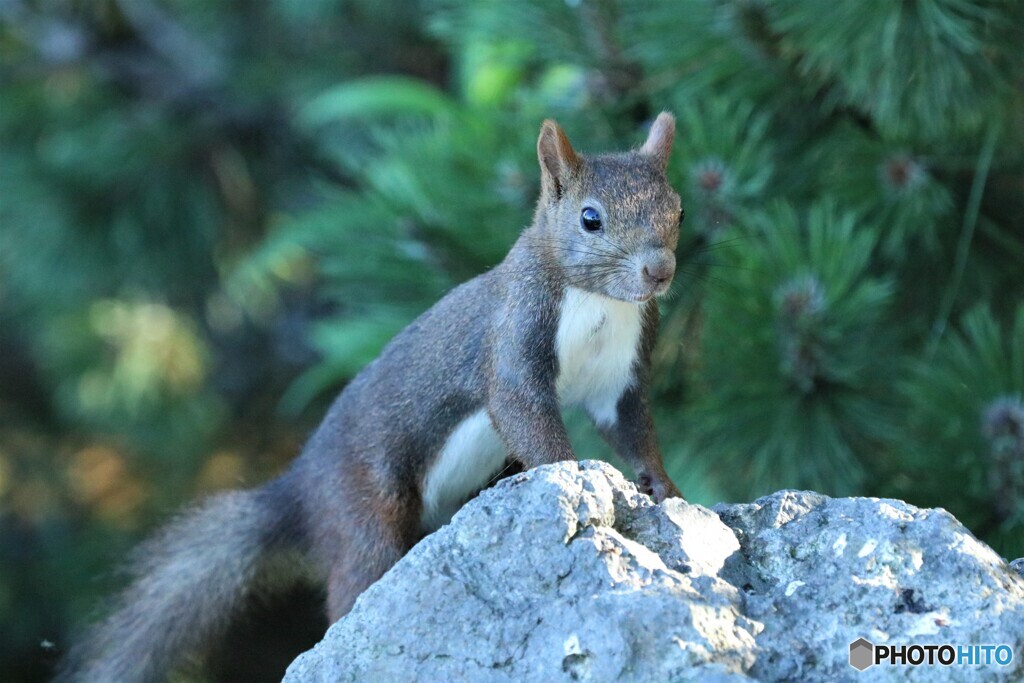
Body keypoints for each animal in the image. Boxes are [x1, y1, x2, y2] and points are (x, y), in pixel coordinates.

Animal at [56, 113, 684, 683]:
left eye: (677, 209)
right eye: (590, 219)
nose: (659, 270)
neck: (598, 303)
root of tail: (302, 489)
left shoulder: (620, 371)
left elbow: (630, 426)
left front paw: (662, 488)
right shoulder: (517, 328)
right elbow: (521, 408)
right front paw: (576, 479)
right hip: (362, 511)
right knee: (358, 578)